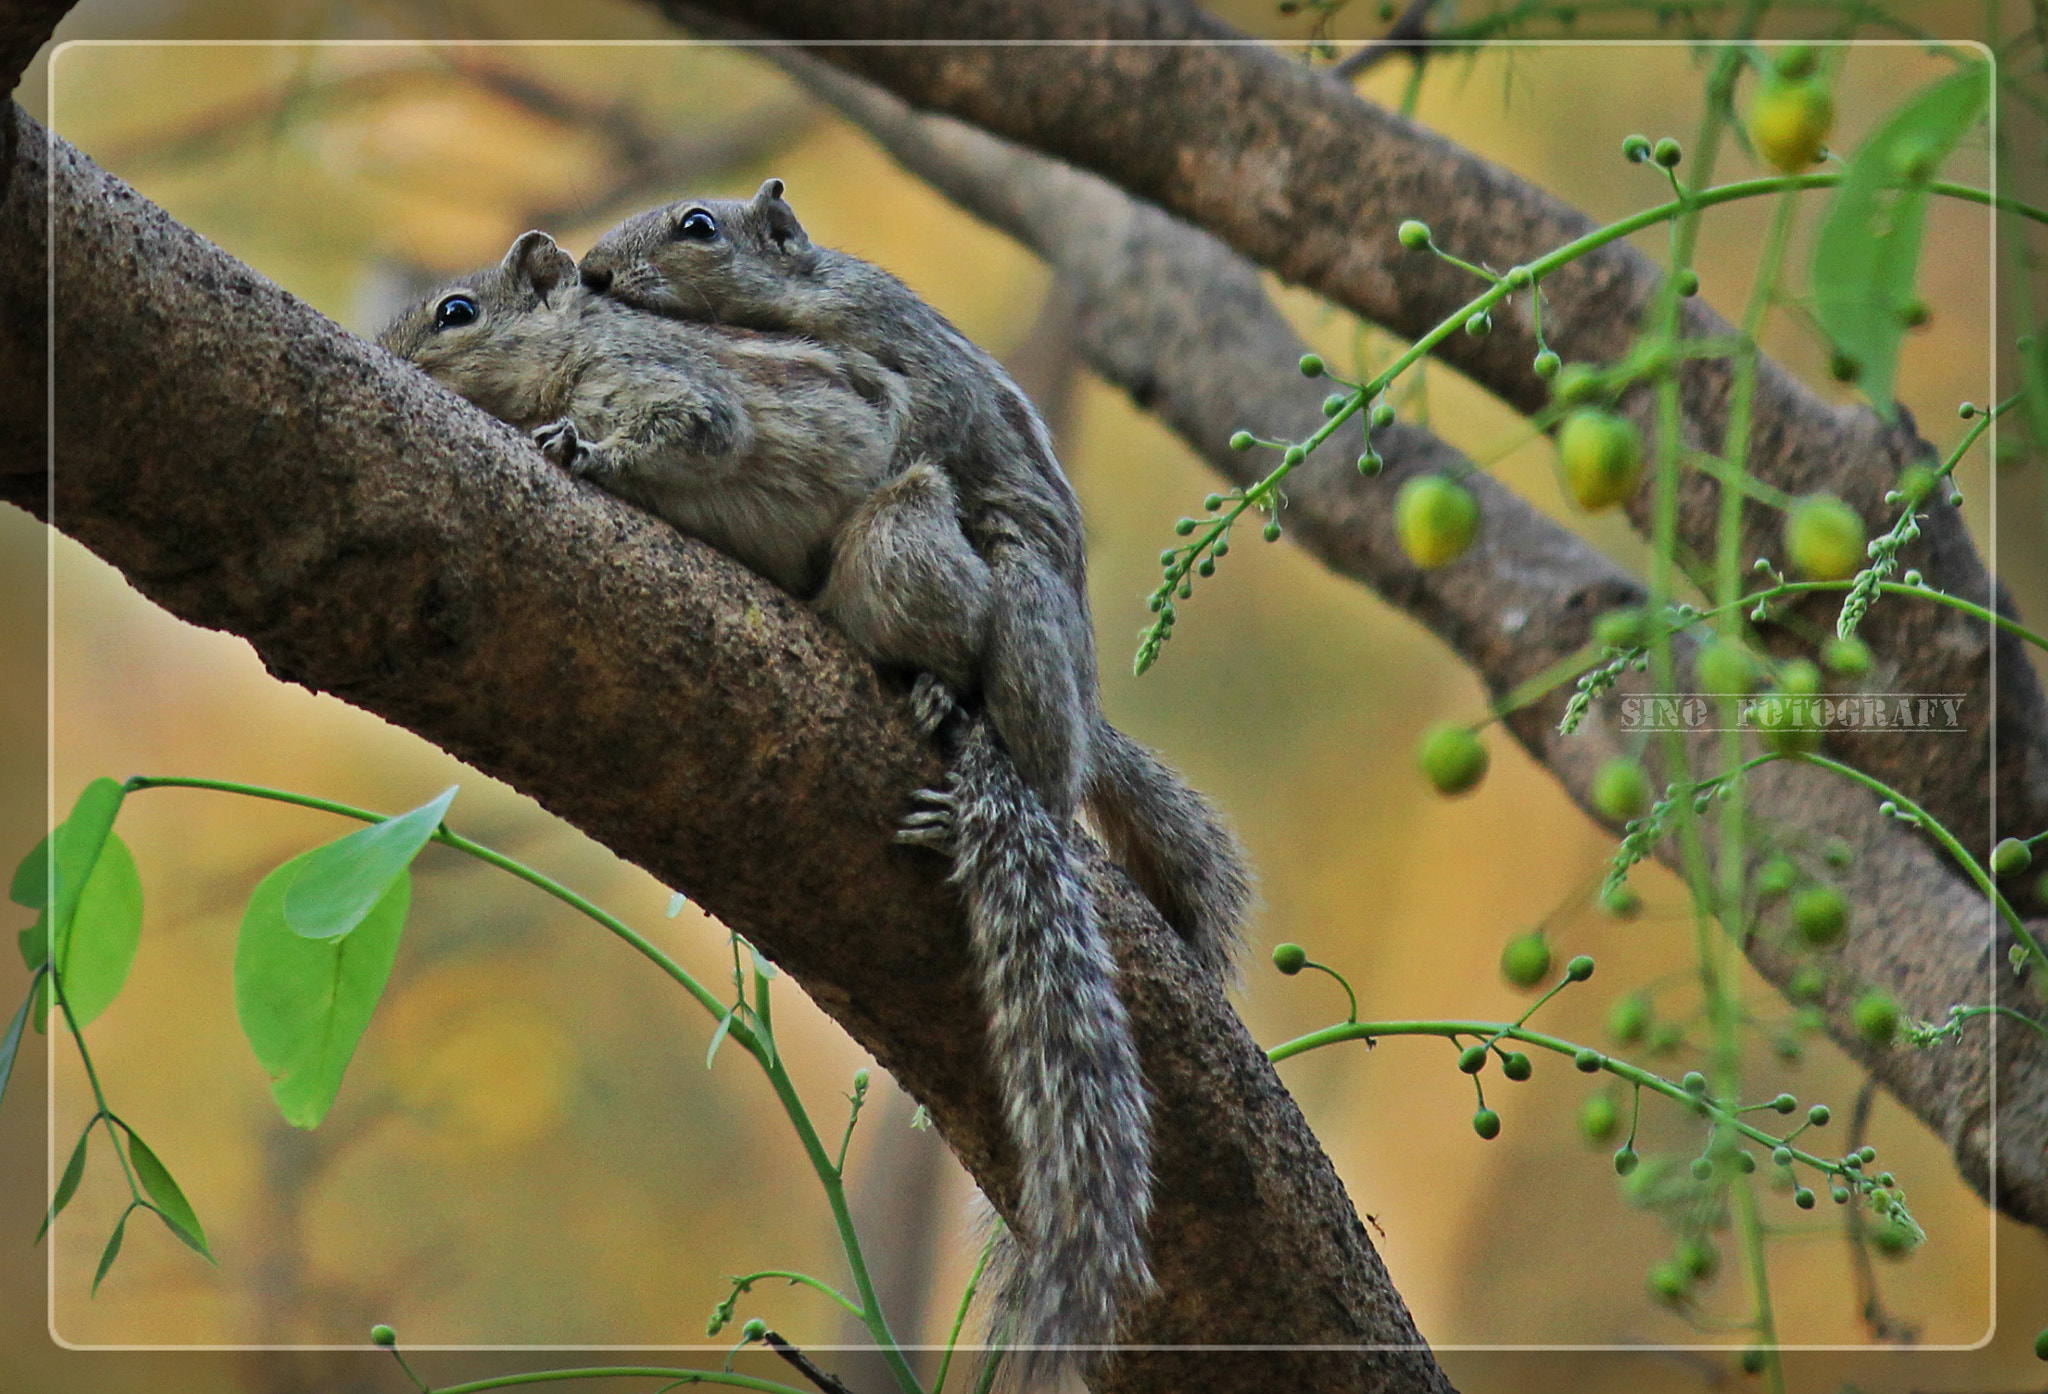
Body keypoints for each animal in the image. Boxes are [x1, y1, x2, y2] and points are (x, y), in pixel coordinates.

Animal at [378, 230, 1156, 1377]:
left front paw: (580, 448)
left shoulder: (672, 386)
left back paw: (946, 688)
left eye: (457, 312)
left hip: (901, 548)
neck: (582, 339)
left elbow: (700, 429)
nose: (389, 359)